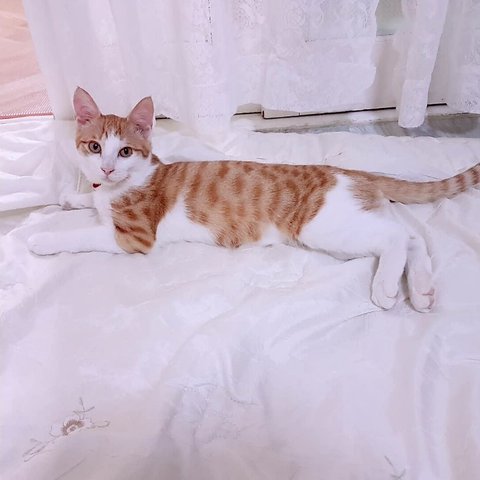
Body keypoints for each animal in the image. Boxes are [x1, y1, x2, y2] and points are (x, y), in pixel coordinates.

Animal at [28, 87, 480, 313]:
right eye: (94, 147)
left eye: (124, 152)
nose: (106, 169)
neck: (125, 183)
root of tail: (351, 172)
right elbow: (89, 205)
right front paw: (72, 196)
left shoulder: (134, 237)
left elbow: (84, 235)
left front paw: (43, 239)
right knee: (411, 236)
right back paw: (421, 289)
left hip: (325, 226)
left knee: (395, 237)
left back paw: (387, 286)